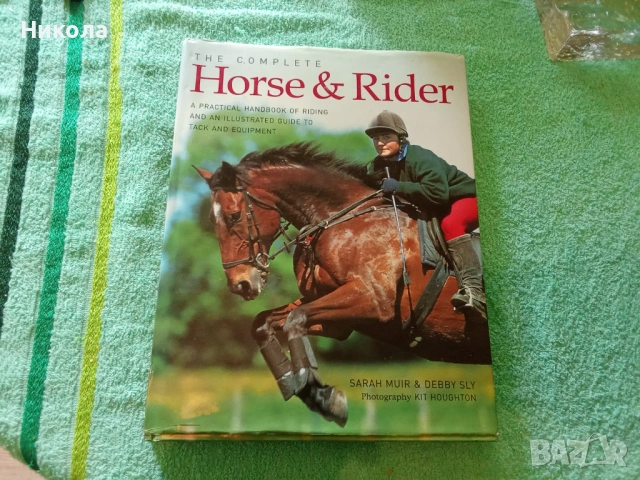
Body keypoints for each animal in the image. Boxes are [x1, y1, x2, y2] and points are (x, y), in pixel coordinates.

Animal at [195, 143, 492, 427]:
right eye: (212, 219)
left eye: (234, 216)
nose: (241, 284)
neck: (338, 218)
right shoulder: (341, 321)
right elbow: (265, 323)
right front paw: (309, 392)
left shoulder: (374, 302)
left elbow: (295, 319)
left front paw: (323, 397)